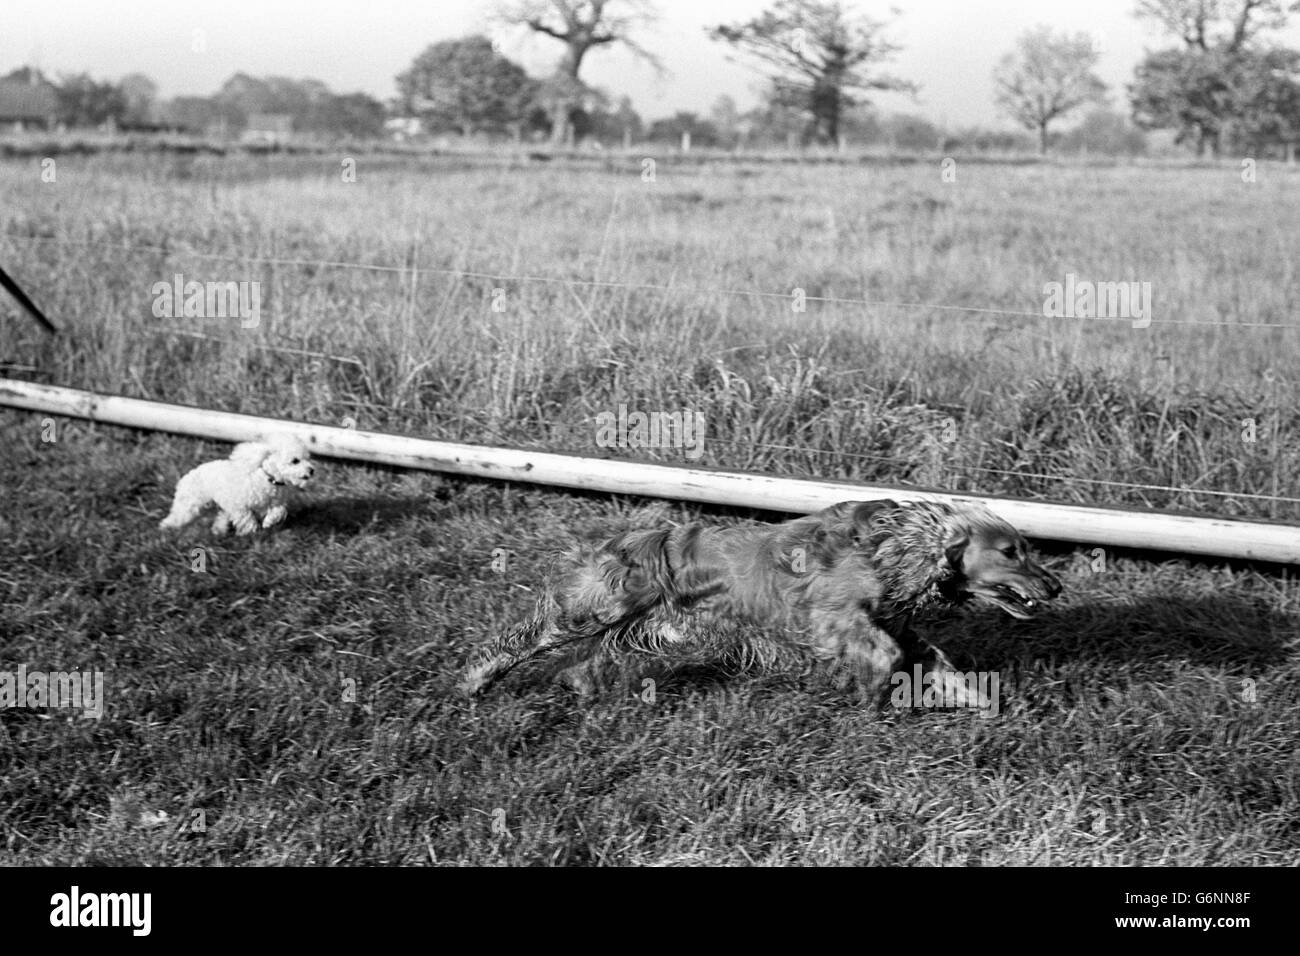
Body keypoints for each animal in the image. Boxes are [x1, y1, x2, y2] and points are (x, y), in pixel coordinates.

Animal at [161, 434, 315, 535]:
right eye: (295, 461)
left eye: (307, 458)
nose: (312, 470)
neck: (267, 479)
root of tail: (187, 476)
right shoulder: (238, 505)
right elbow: (246, 517)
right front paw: (250, 530)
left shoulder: (273, 503)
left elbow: (279, 511)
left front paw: (268, 522)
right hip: (190, 507)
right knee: (177, 517)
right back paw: (165, 527)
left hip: (214, 505)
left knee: (220, 516)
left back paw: (218, 530)